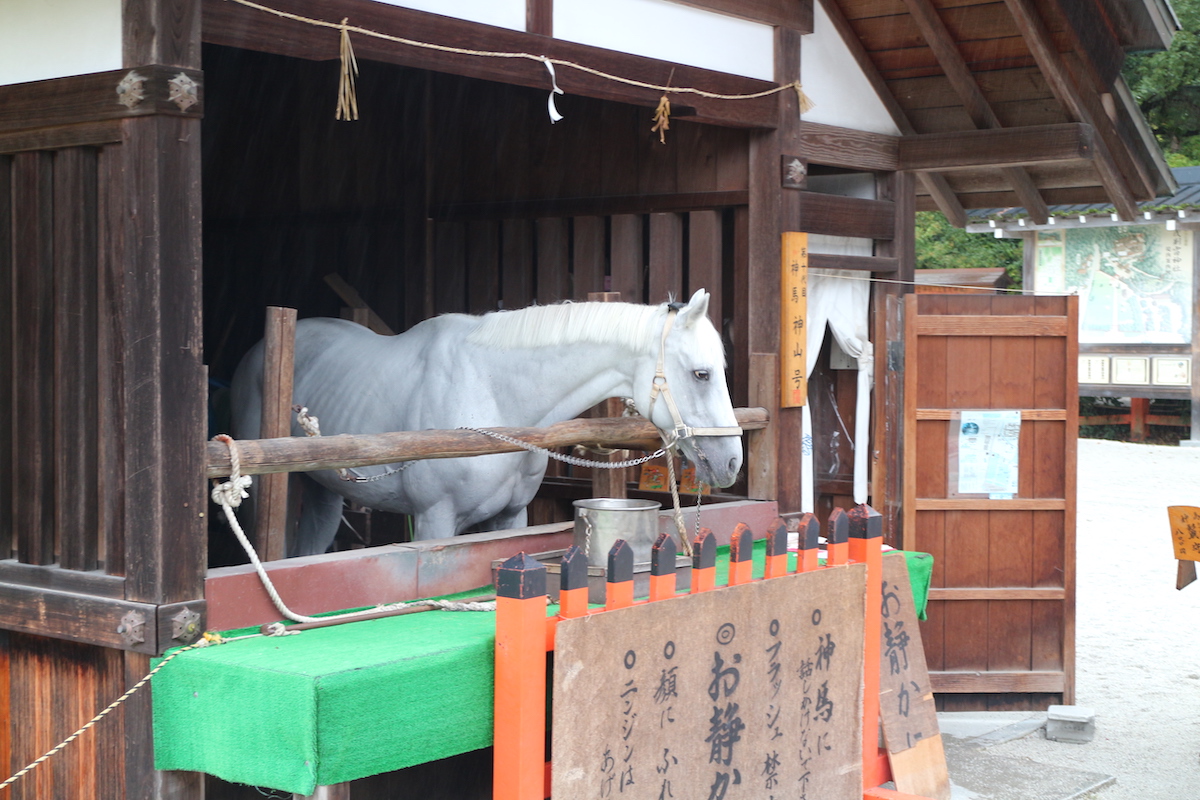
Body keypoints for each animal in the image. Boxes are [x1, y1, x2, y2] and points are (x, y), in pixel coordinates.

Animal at [230, 289, 743, 556]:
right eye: (701, 373)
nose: (732, 462)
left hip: (323, 490)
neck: (494, 395)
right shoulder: (435, 521)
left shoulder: (510, 517)